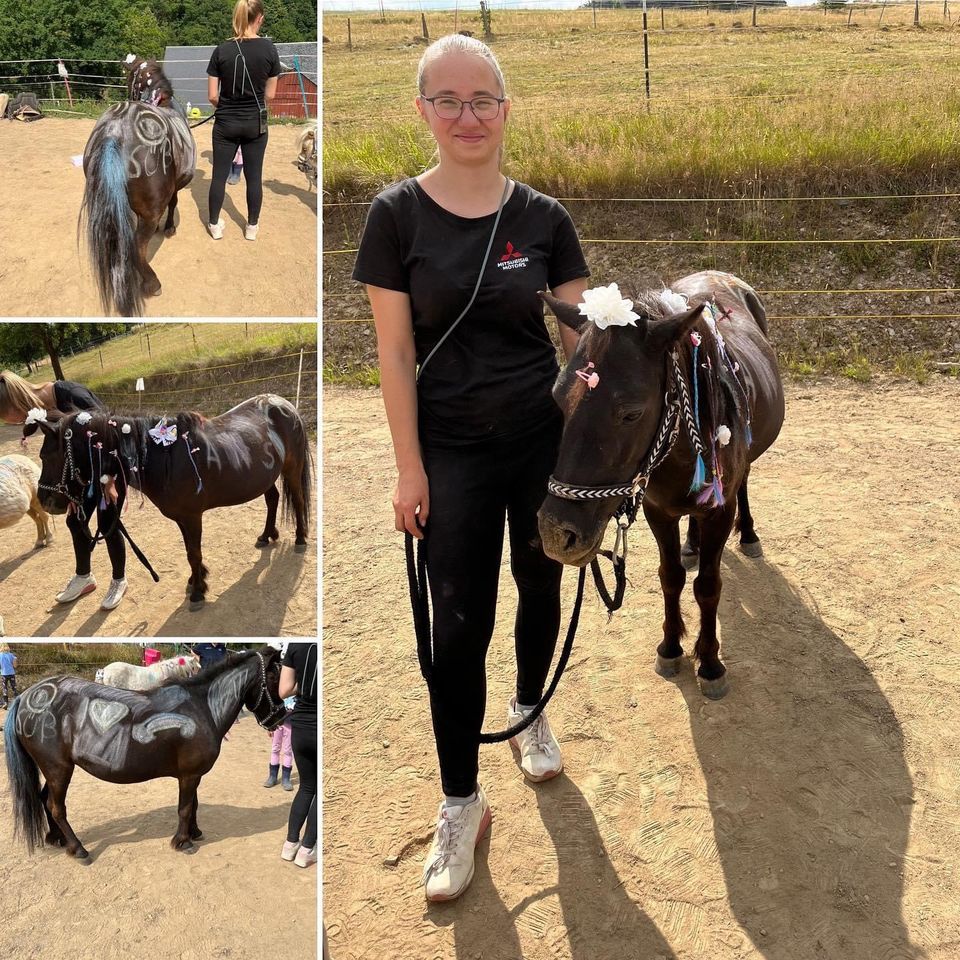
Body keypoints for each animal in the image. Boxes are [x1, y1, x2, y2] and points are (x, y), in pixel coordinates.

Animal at [4, 648, 284, 860]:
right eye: (274, 679)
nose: (280, 717)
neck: (202, 707)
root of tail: (26, 696)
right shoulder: (189, 775)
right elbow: (185, 807)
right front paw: (182, 841)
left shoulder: (192, 775)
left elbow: (193, 804)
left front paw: (194, 832)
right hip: (59, 768)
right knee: (56, 807)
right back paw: (78, 848)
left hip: (52, 769)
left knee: (45, 799)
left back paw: (56, 838)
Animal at [26, 392, 312, 604]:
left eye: (46, 456)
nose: (46, 501)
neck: (164, 457)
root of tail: (283, 404)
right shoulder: (182, 519)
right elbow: (189, 551)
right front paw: (196, 581)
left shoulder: (192, 517)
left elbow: (194, 553)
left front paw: (197, 592)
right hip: (265, 478)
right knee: (273, 499)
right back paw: (266, 535)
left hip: (292, 468)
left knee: (297, 500)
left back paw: (300, 538)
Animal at [81, 56, 196, 316]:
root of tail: (115, 131)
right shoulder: (172, 191)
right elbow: (173, 202)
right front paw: (170, 227)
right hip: (150, 212)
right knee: (135, 244)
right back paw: (152, 283)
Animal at [536, 270, 784, 696]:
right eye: (557, 398)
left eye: (631, 413)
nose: (556, 533)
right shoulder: (658, 511)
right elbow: (671, 578)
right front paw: (670, 647)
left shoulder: (720, 511)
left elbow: (707, 586)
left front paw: (710, 663)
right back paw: (692, 544)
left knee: (746, 481)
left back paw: (749, 535)